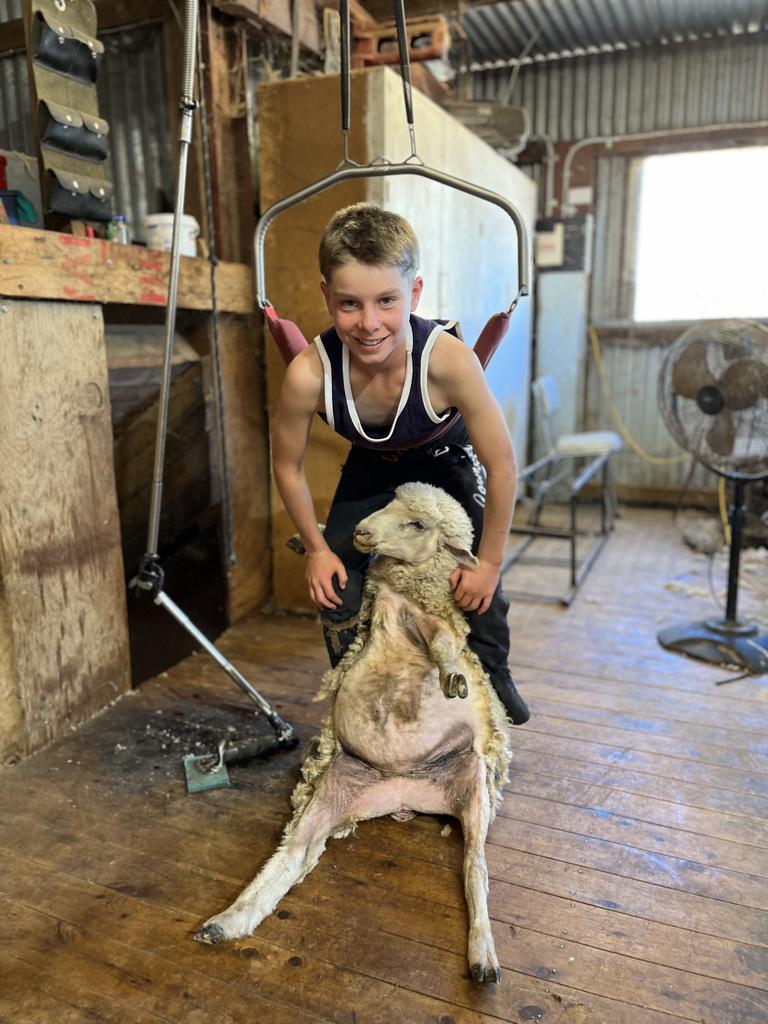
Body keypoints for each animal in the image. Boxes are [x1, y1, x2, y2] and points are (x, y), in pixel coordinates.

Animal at [195, 483, 514, 987]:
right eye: (390, 502)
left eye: (418, 523)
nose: (362, 530)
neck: (400, 593)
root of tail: (404, 794)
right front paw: (308, 540)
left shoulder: (427, 620)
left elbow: (444, 644)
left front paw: (452, 678)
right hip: (335, 789)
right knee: (293, 854)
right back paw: (227, 921)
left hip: (473, 785)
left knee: (474, 868)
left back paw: (483, 956)